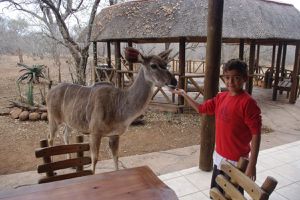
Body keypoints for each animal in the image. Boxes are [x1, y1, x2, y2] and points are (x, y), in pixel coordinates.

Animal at [47, 47, 177, 173]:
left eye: (166, 64)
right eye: (153, 65)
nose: (174, 82)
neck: (118, 105)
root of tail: (50, 92)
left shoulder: (114, 134)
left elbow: (116, 157)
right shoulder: (95, 132)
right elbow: (94, 160)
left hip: (69, 122)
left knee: (65, 135)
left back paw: (72, 166)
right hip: (53, 119)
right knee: (50, 138)